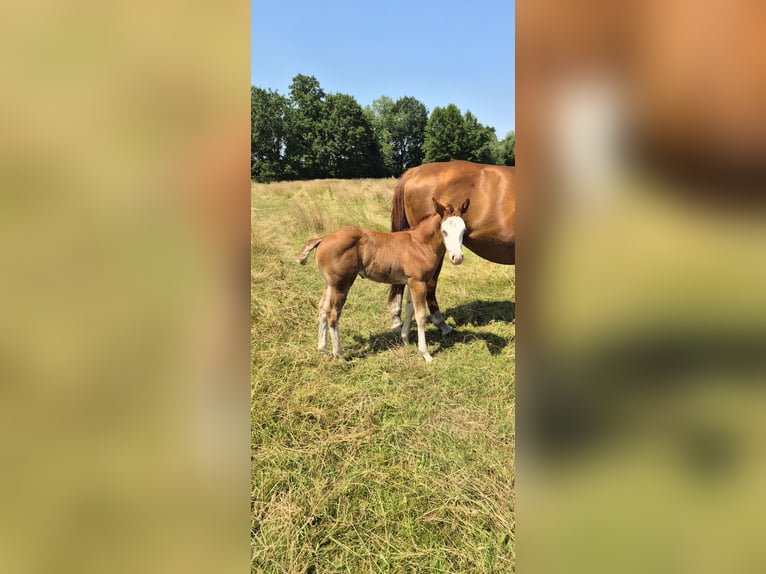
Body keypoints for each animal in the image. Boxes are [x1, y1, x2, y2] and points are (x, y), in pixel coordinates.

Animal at [298, 198, 470, 362]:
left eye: (463, 231)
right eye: (444, 231)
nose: (457, 258)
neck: (420, 244)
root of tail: (324, 238)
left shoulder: (410, 281)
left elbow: (409, 309)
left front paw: (405, 340)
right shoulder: (419, 282)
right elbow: (420, 315)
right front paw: (425, 354)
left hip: (330, 284)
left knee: (323, 308)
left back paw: (323, 351)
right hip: (341, 285)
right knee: (333, 313)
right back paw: (338, 355)